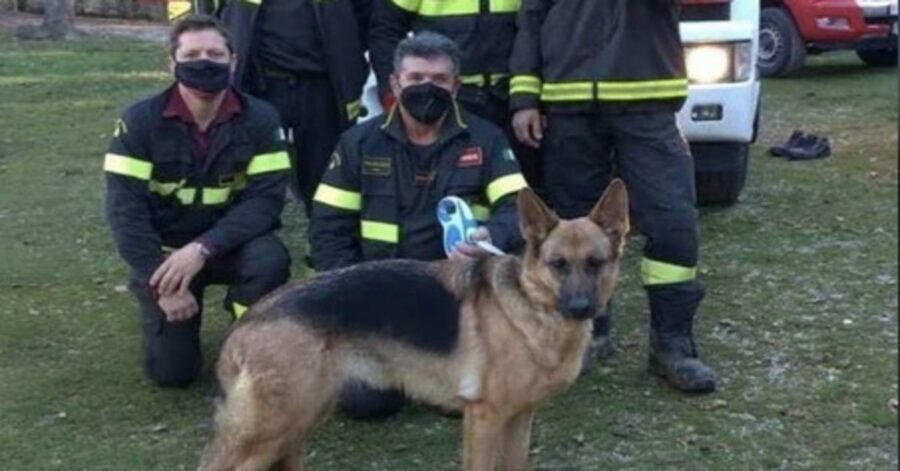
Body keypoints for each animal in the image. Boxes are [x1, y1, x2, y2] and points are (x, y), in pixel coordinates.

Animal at [200, 181, 628, 471]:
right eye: (558, 265)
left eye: (596, 263)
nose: (581, 308)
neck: (531, 307)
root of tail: (250, 318)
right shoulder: (485, 419)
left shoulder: (520, 419)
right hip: (274, 430)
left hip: (301, 419)